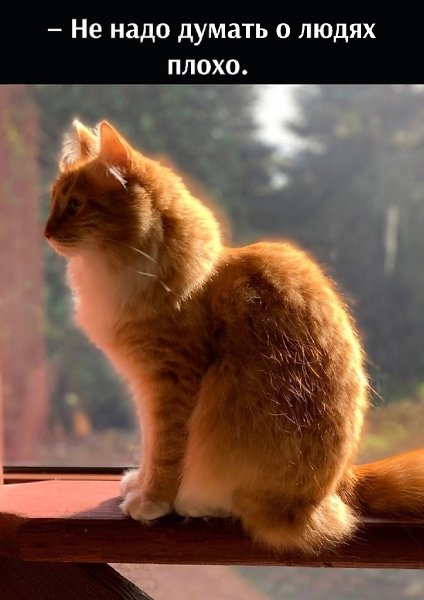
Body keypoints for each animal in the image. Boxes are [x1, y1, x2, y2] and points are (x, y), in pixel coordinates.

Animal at [44, 119, 424, 554]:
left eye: (75, 206)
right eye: (54, 202)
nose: (46, 232)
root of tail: (342, 483)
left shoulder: (170, 384)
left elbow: (166, 453)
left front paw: (152, 499)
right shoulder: (145, 387)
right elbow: (151, 445)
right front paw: (137, 484)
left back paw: (196, 503)